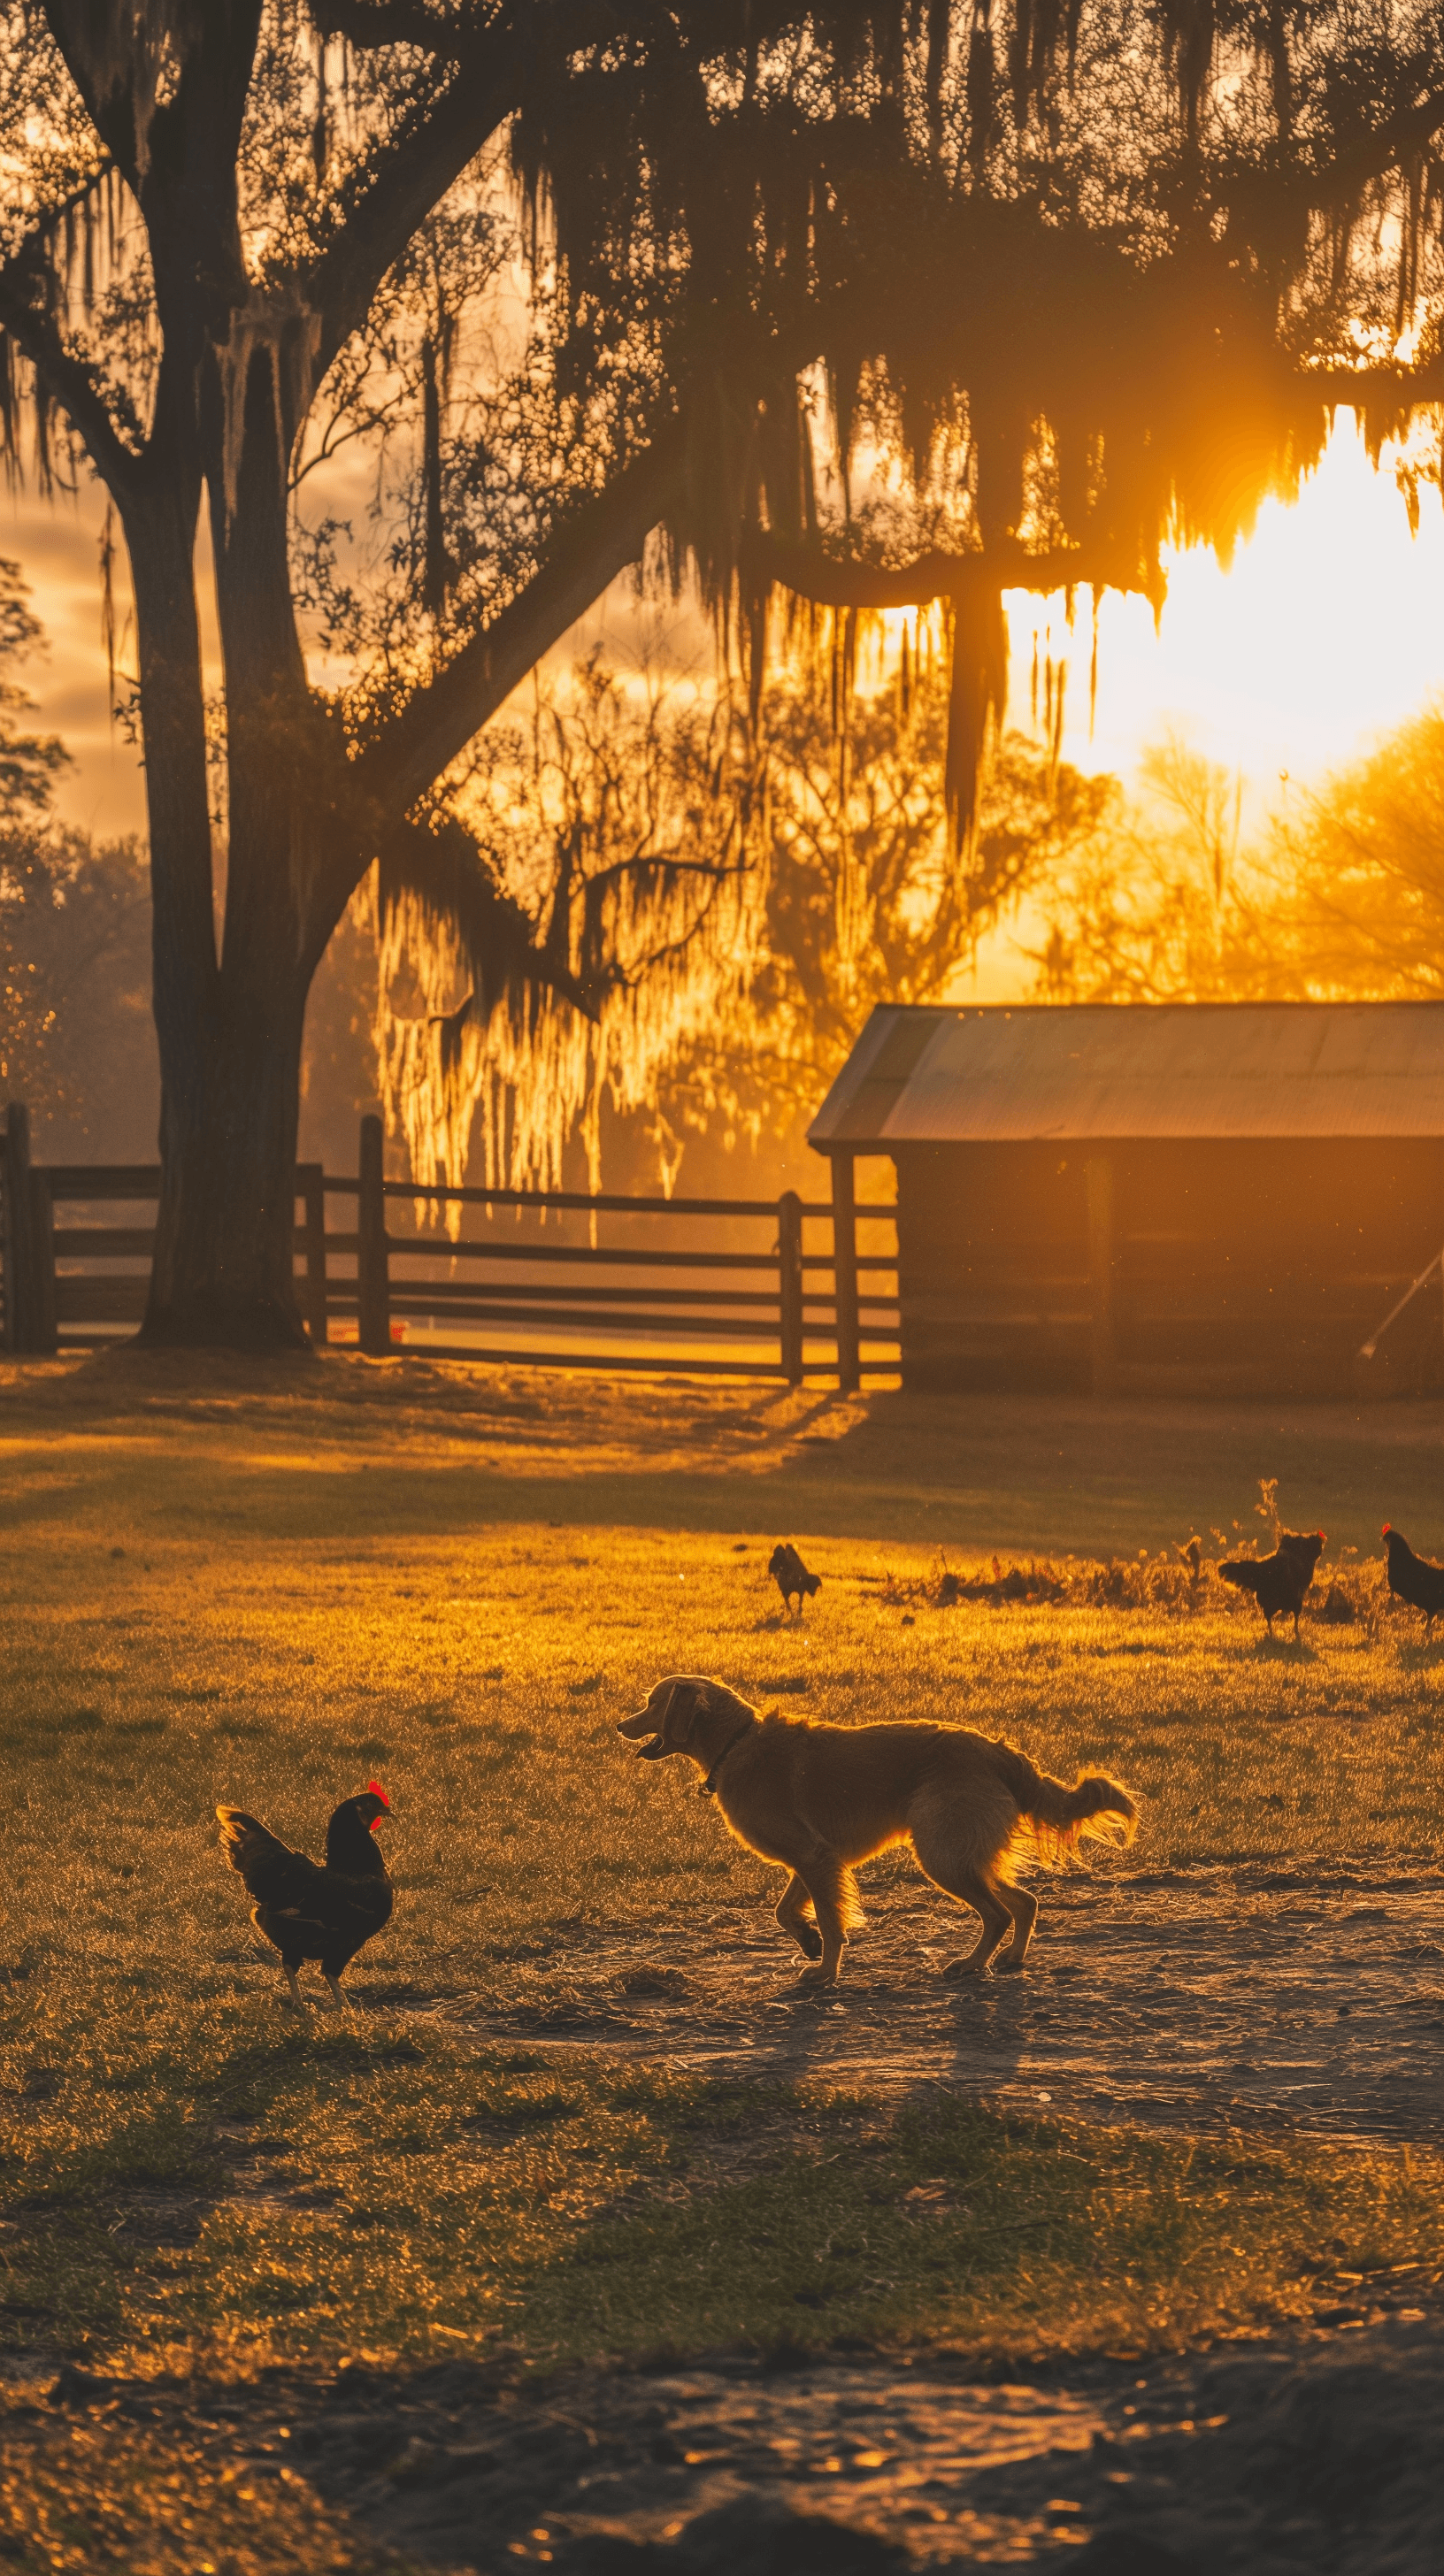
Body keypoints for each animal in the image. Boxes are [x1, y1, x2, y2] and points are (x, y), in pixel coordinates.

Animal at [613, 1679, 1134, 1978]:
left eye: (651, 1703)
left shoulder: (815, 1858)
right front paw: (807, 1942)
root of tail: (998, 1750)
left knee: (999, 1913)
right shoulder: (814, 1859)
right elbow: (786, 1912)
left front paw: (825, 1971)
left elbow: (831, 1920)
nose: (619, 1725)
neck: (736, 1743)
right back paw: (1010, 1959)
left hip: (942, 1855)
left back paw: (972, 1964)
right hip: (963, 1854)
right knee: (1025, 1902)